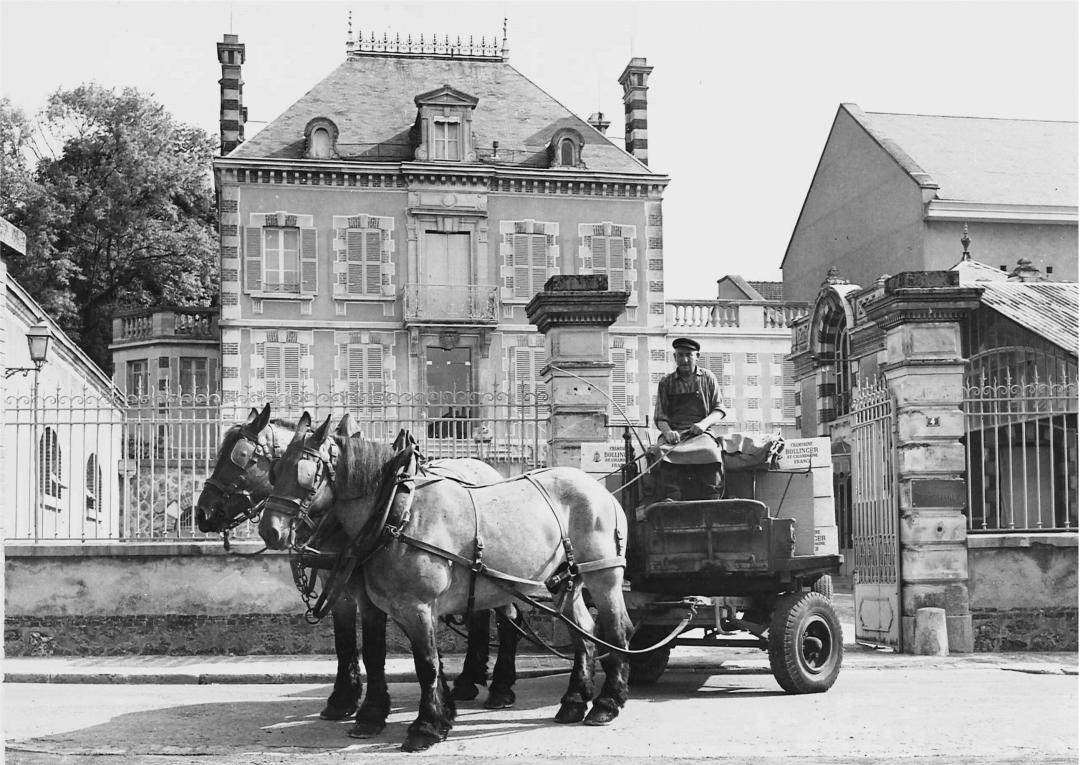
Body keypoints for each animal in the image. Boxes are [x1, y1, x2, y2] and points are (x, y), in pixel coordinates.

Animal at [195, 406, 522, 734]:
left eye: (241, 456)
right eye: (275, 473)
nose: (202, 513)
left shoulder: (370, 597)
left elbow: (374, 650)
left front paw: (372, 712)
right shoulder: (340, 592)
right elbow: (345, 644)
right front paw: (343, 700)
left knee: (507, 620)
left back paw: (500, 688)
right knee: (479, 616)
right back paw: (468, 680)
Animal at [260, 412, 630, 752]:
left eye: (305, 474)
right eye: (274, 471)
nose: (270, 531)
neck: (397, 512)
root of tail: (598, 488)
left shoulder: (418, 606)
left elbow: (426, 664)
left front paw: (425, 727)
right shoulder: (385, 605)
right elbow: (397, 658)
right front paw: (409, 717)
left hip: (603, 575)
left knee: (615, 631)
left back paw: (606, 703)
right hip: (564, 579)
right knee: (583, 633)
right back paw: (573, 701)